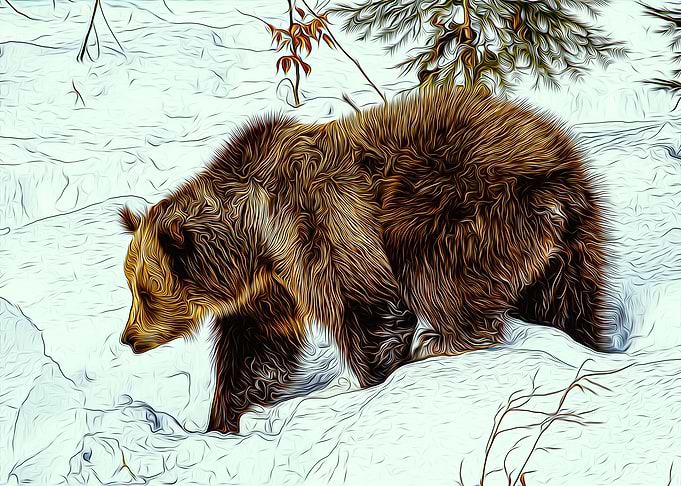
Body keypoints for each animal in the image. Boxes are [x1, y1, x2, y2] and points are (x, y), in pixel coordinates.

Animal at [118, 88, 613, 434]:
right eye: (132, 287)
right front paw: (224, 419)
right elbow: (255, 349)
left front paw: (377, 379)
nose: (128, 338)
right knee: (568, 303)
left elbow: (365, 302)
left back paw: (439, 344)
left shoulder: (316, 222)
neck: (252, 239)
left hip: (456, 212)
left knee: (440, 280)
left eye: (145, 290)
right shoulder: (270, 287)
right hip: (576, 242)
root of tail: (553, 183)